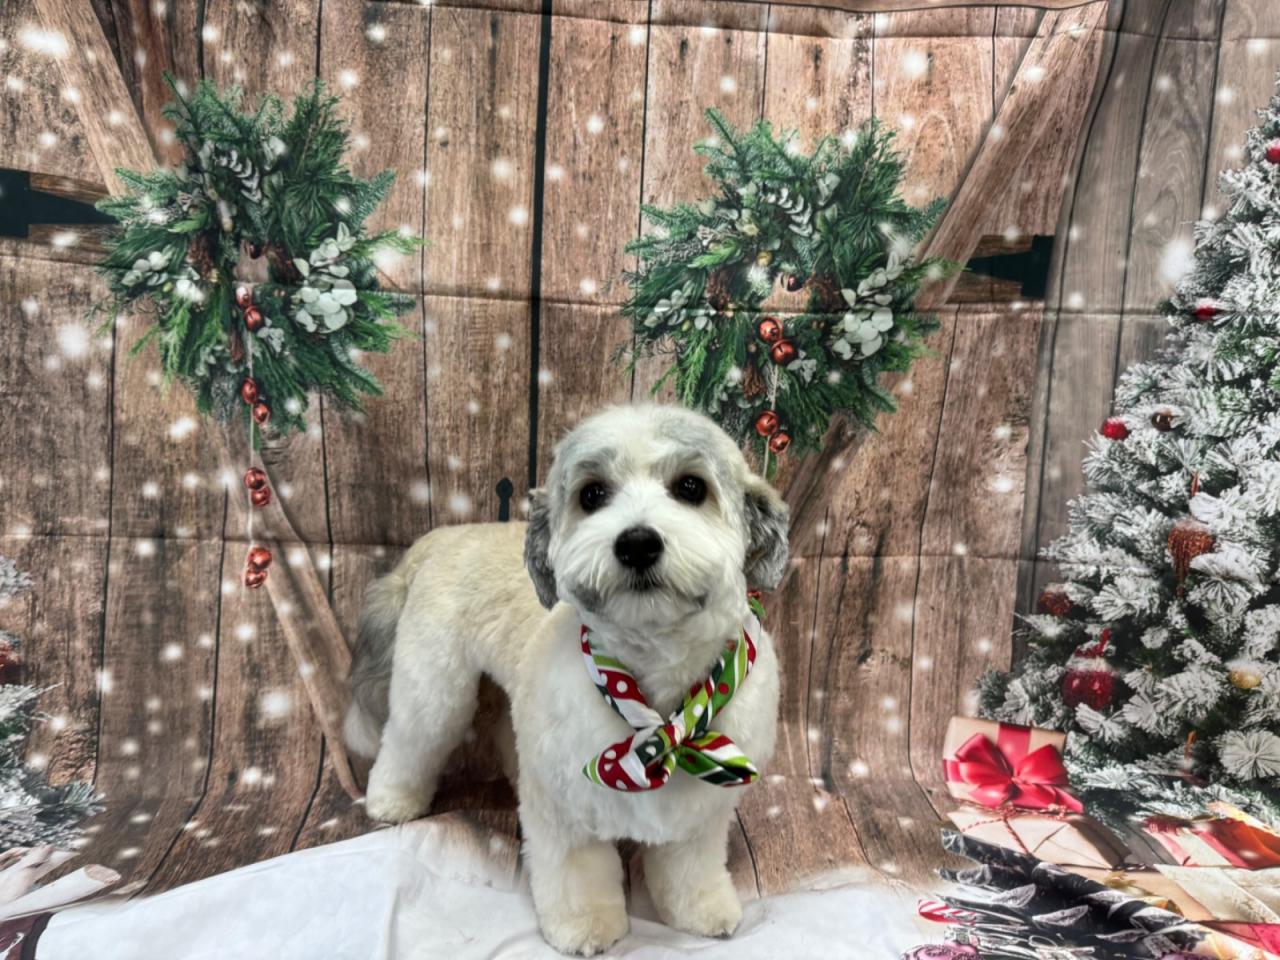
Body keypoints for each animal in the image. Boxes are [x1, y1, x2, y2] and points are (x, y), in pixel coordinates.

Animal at [344, 404, 788, 956]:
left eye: (691, 487)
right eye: (592, 494)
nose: (637, 543)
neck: (657, 707)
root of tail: (443, 537)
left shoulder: (701, 815)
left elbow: (690, 866)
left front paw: (701, 911)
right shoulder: (564, 811)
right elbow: (578, 872)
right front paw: (586, 927)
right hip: (436, 688)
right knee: (412, 739)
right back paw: (391, 800)